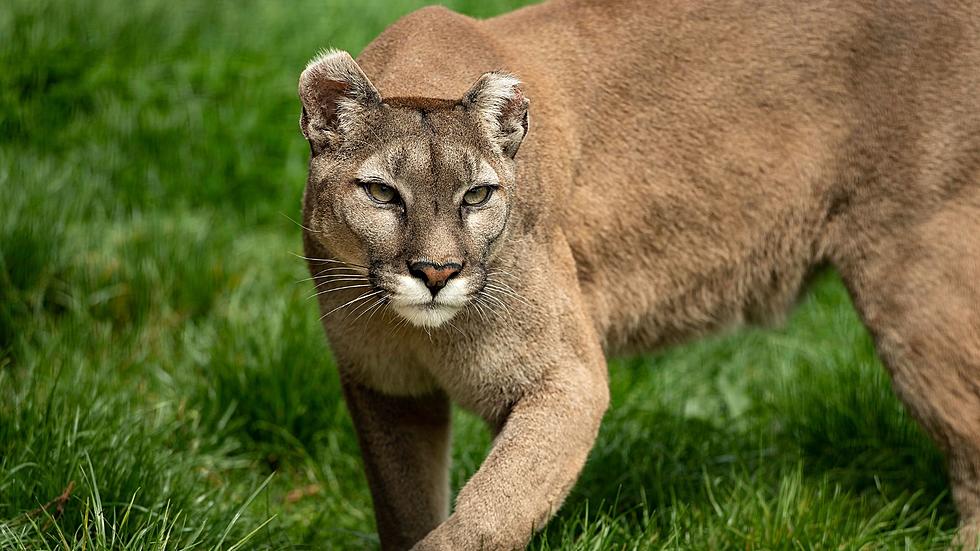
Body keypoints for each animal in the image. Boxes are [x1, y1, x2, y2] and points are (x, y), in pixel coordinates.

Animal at [296, 0, 980, 548]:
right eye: (382, 193)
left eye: (477, 195)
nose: (437, 272)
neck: (419, 332)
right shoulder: (388, 390)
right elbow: (408, 509)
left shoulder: (563, 379)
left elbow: (485, 515)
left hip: (916, 275)